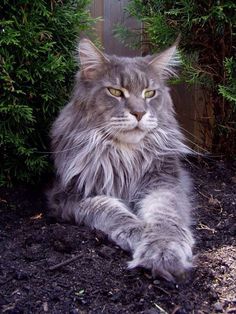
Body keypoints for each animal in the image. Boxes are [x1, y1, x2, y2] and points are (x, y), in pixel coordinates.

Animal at [47, 39, 194, 282]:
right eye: (115, 91)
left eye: (149, 93)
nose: (139, 113)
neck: (125, 155)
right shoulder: (69, 193)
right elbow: (109, 209)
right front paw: (139, 232)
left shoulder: (164, 181)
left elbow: (165, 215)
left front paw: (163, 251)